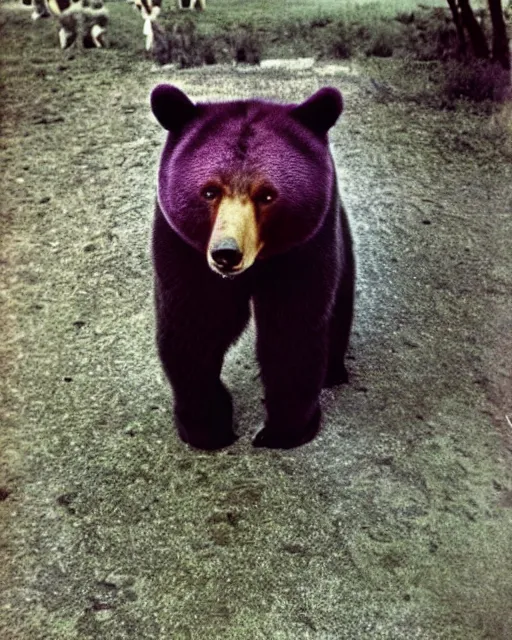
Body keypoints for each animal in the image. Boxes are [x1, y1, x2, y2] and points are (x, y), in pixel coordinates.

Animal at [150, 84, 354, 450]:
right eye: (209, 191)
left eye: (267, 196)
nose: (226, 253)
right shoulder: (184, 249)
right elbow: (194, 324)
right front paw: (207, 426)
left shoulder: (304, 247)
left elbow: (291, 327)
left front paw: (284, 429)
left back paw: (334, 371)